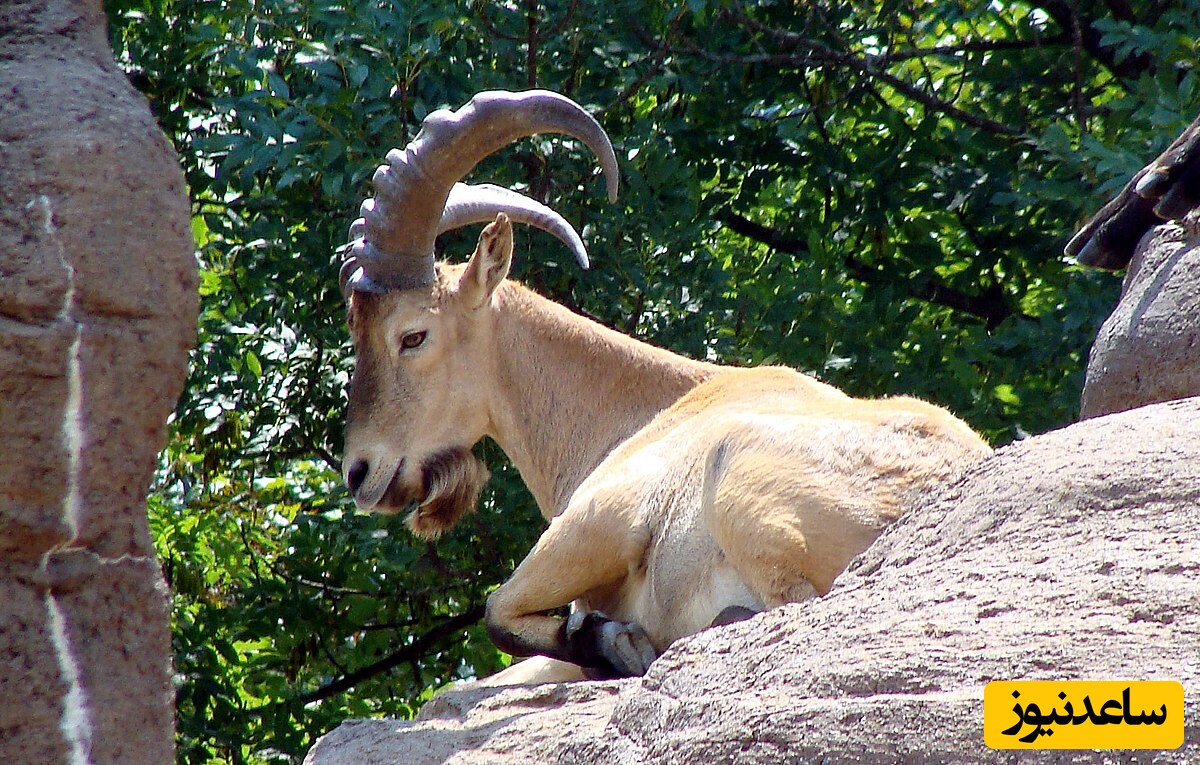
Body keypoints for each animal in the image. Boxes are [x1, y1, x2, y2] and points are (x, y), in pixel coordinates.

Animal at [338, 89, 993, 681]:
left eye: (413, 335)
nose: (358, 473)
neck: (646, 407)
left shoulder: (602, 516)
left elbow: (499, 611)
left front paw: (616, 641)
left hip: (738, 483)